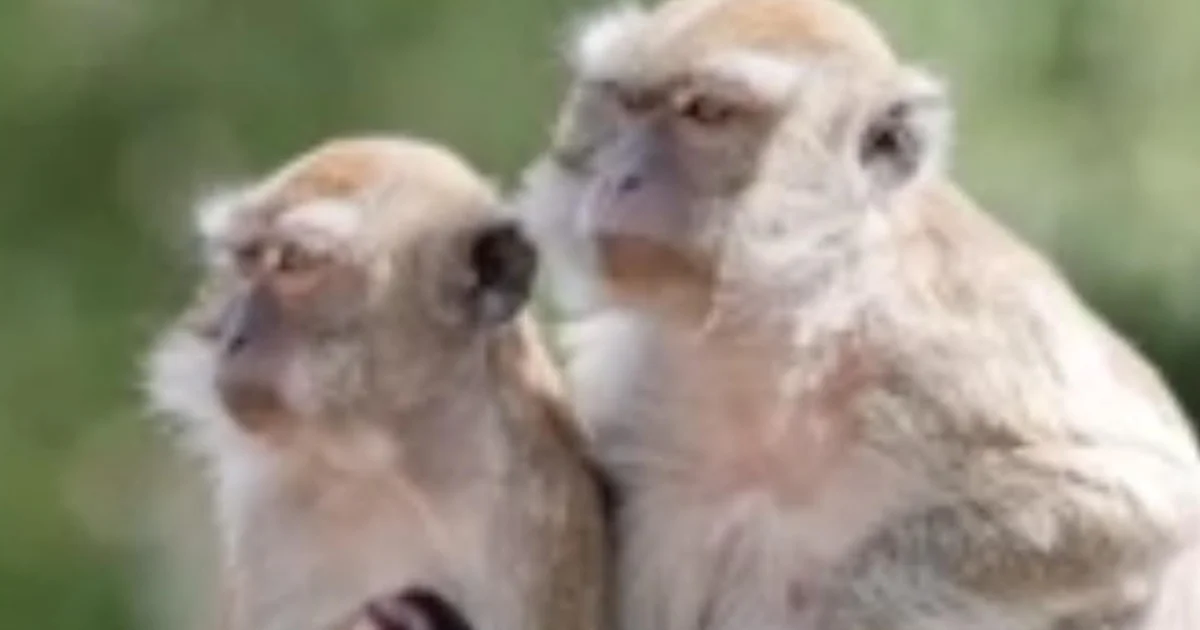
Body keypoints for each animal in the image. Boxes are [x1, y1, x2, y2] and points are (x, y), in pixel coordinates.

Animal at [144, 137, 607, 630]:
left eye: (294, 261)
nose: (231, 334)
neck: (385, 464)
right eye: (247, 261)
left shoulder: (534, 520)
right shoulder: (262, 518)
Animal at [517, 0, 1200, 628]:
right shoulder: (632, 382)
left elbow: (1141, 504)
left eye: (707, 112)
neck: (786, 326)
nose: (620, 178)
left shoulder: (946, 355)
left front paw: (849, 604)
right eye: (626, 105)